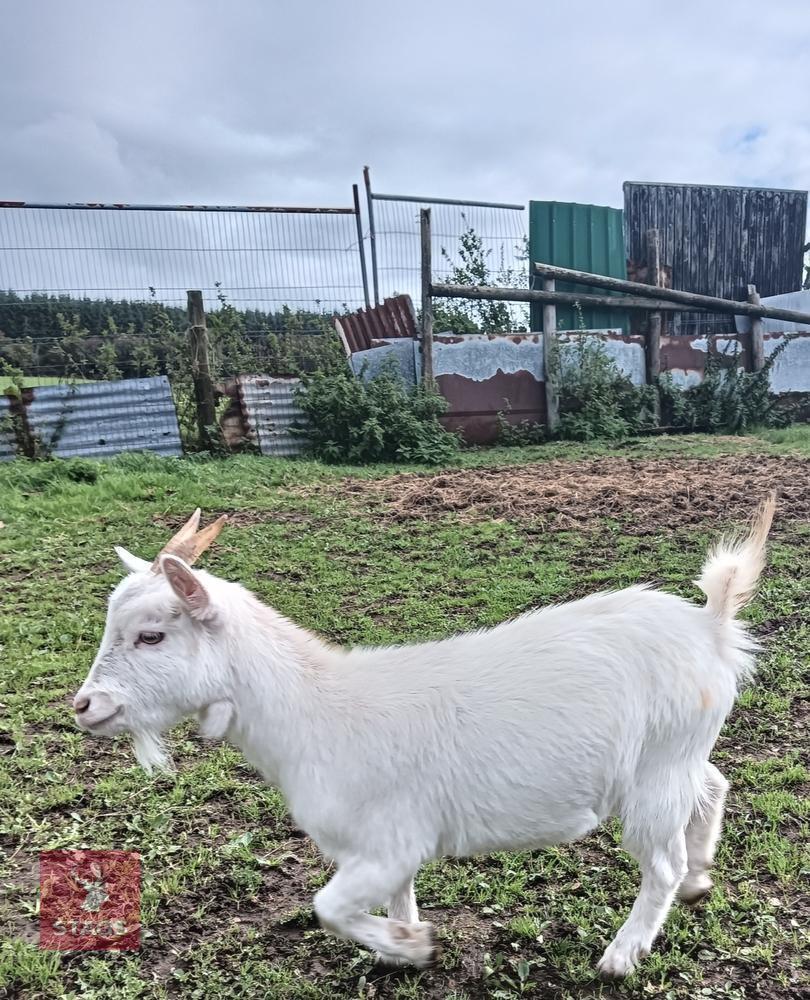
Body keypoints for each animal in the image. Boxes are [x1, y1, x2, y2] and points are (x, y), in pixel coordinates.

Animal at [72, 496, 775, 976]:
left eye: (152, 635)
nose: (85, 706)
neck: (313, 709)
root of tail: (711, 626)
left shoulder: (385, 842)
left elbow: (329, 907)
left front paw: (412, 946)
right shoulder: (385, 849)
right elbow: (392, 898)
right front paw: (400, 948)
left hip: (656, 773)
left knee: (661, 861)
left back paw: (621, 955)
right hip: (677, 756)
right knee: (714, 784)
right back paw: (701, 877)